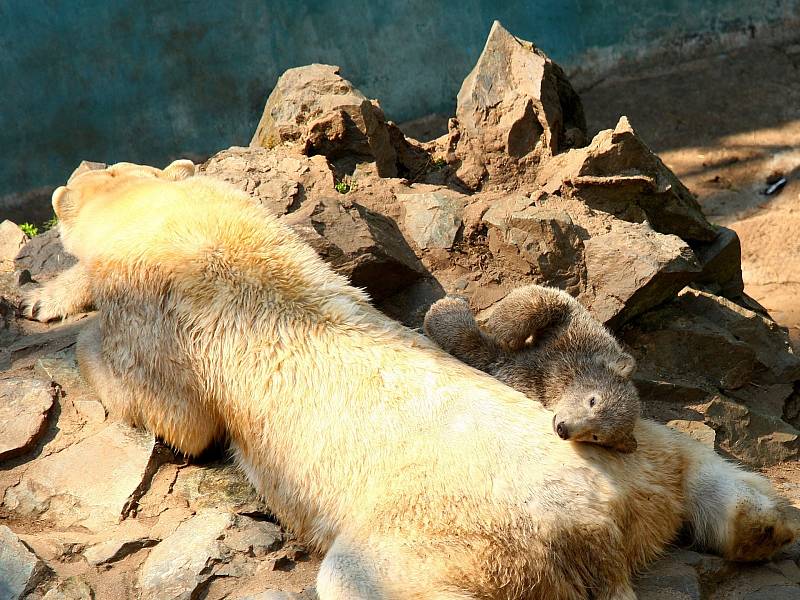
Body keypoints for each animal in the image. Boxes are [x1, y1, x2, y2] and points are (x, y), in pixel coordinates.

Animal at [25, 161, 792, 600]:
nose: (71, 179)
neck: (194, 230)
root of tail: (600, 526)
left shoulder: (169, 317)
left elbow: (172, 414)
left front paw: (60, 316)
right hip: (622, 451)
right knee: (691, 459)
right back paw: (762, 526)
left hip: (447, 534)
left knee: (360, 579)